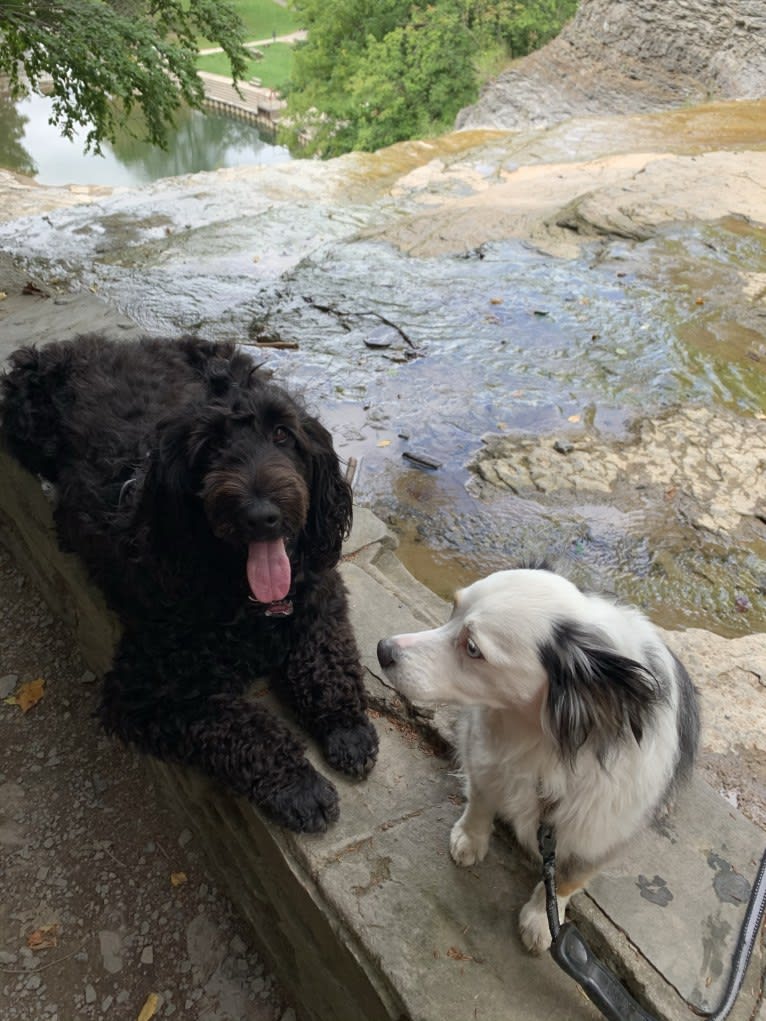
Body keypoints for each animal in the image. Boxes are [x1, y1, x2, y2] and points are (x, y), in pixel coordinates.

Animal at [1, 334, 379, 829]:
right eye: (211, 446)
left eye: (282, 434)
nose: (261, 515)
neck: (244, 598)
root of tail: (91, 344)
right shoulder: (148, 690)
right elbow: (243, 725)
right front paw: (300, 786)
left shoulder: (321, 597)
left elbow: (327, 657)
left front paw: (346, 726)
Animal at [377, 571, 702, 951]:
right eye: (452, 609)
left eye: (473, 648)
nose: (383, 649)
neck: (540, 738)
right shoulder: (484, 751)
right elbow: (481, 797)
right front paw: (470, 839)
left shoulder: (604, 832)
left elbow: (569, 877)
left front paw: (542, 921)